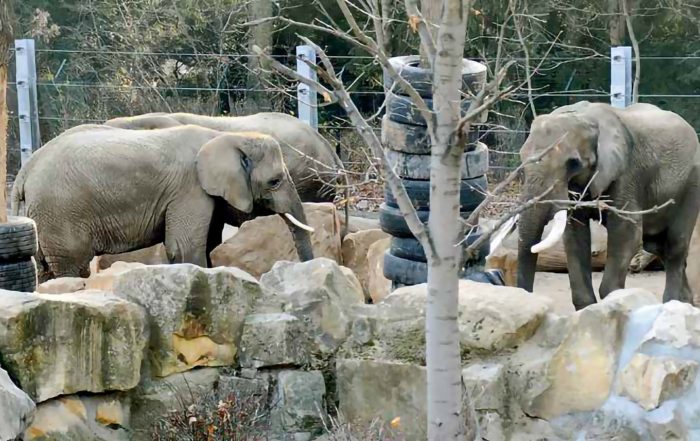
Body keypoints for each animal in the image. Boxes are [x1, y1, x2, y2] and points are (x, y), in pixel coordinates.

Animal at [10, 122, 314, 280]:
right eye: (274, 181)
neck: (226, 135)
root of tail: (24, 172)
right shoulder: (189, 189)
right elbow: (185, 248)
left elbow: (209, 244)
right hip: (60, 215)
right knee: (72, 266)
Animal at [508, 100, 700, 310]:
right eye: (521, 161)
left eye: (573, 163)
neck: (586, 117)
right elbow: (575, 235)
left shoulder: (627, 173)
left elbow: (626, 233)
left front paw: (615, 301)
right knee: (657, 246)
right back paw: (686, 303)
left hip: (691, 183)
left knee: (675, 244)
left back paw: (673, 303)